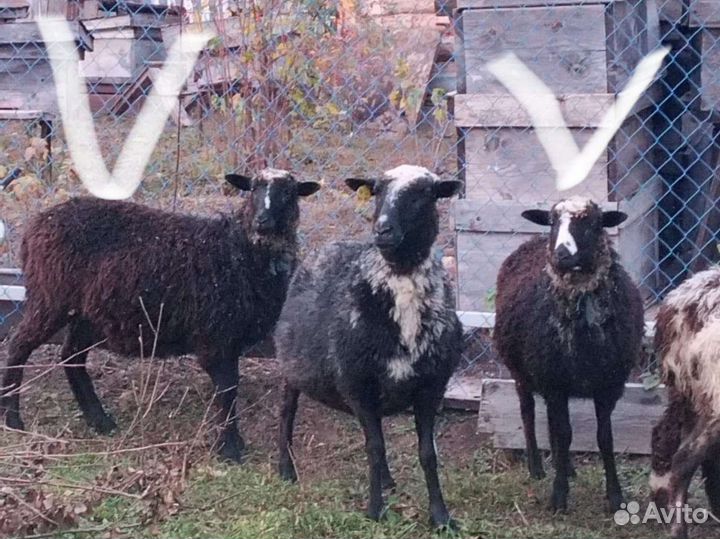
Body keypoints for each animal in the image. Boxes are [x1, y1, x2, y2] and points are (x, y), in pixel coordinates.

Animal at [0, 168, 320, 462]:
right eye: (253, 189)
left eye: (288, 194)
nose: (263, 222)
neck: (238, 249)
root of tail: (37, 225)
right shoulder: (216, 336)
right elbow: (228, 389)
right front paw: (229, 448)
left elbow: (229, 389)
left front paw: (232, 443)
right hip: (51, 298)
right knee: (19, 346)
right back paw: (13, 418)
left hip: (86, 313)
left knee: (71, 356)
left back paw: (99, 420)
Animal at [274, 164, 463, 528]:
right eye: (376, 192)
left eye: (424, 193)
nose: (383, 229)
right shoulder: (357, 384)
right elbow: (374, 449)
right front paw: (375, 511)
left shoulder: (432, 386)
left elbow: (427, 453)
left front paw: (441, 516)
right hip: (291, 367)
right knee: (287, 413)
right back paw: (286, 469)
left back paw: (387, 480)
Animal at [493, 196, 644, 513]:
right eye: (552, 222)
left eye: (592, 222)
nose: (561, 254)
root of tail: (533, 241)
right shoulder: (555, 383)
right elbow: (564, 434)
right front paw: (559, 496)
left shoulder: (607, 385)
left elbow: (604, 438)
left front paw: (615, 497)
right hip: (521, 370)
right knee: (528, 413)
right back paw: (537, 467)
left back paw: (568, 468)